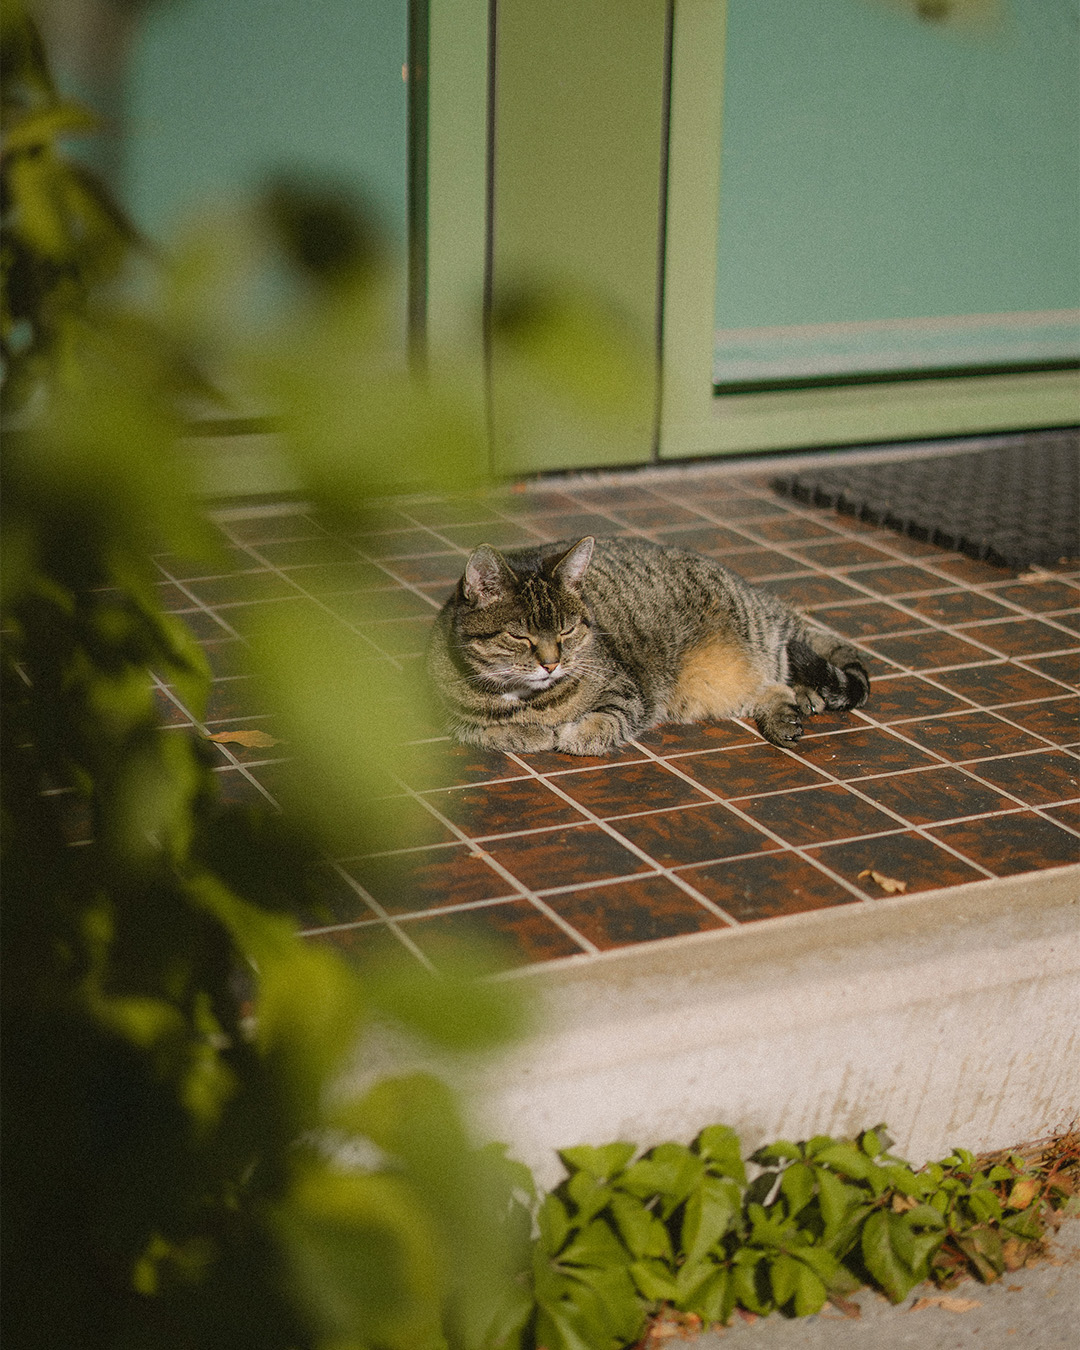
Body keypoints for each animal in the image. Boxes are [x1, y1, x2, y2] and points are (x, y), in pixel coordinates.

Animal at [426, 531, 874, 756]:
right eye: (521, 635)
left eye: (567, 631)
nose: (552, 664)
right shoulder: (448, 714)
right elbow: (490, 730)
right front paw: (530, 733)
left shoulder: (628, 689)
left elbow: (607, 719)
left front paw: (573, 733)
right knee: (774, 690)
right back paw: (792, 711)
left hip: (767, 638)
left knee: (789, 667)